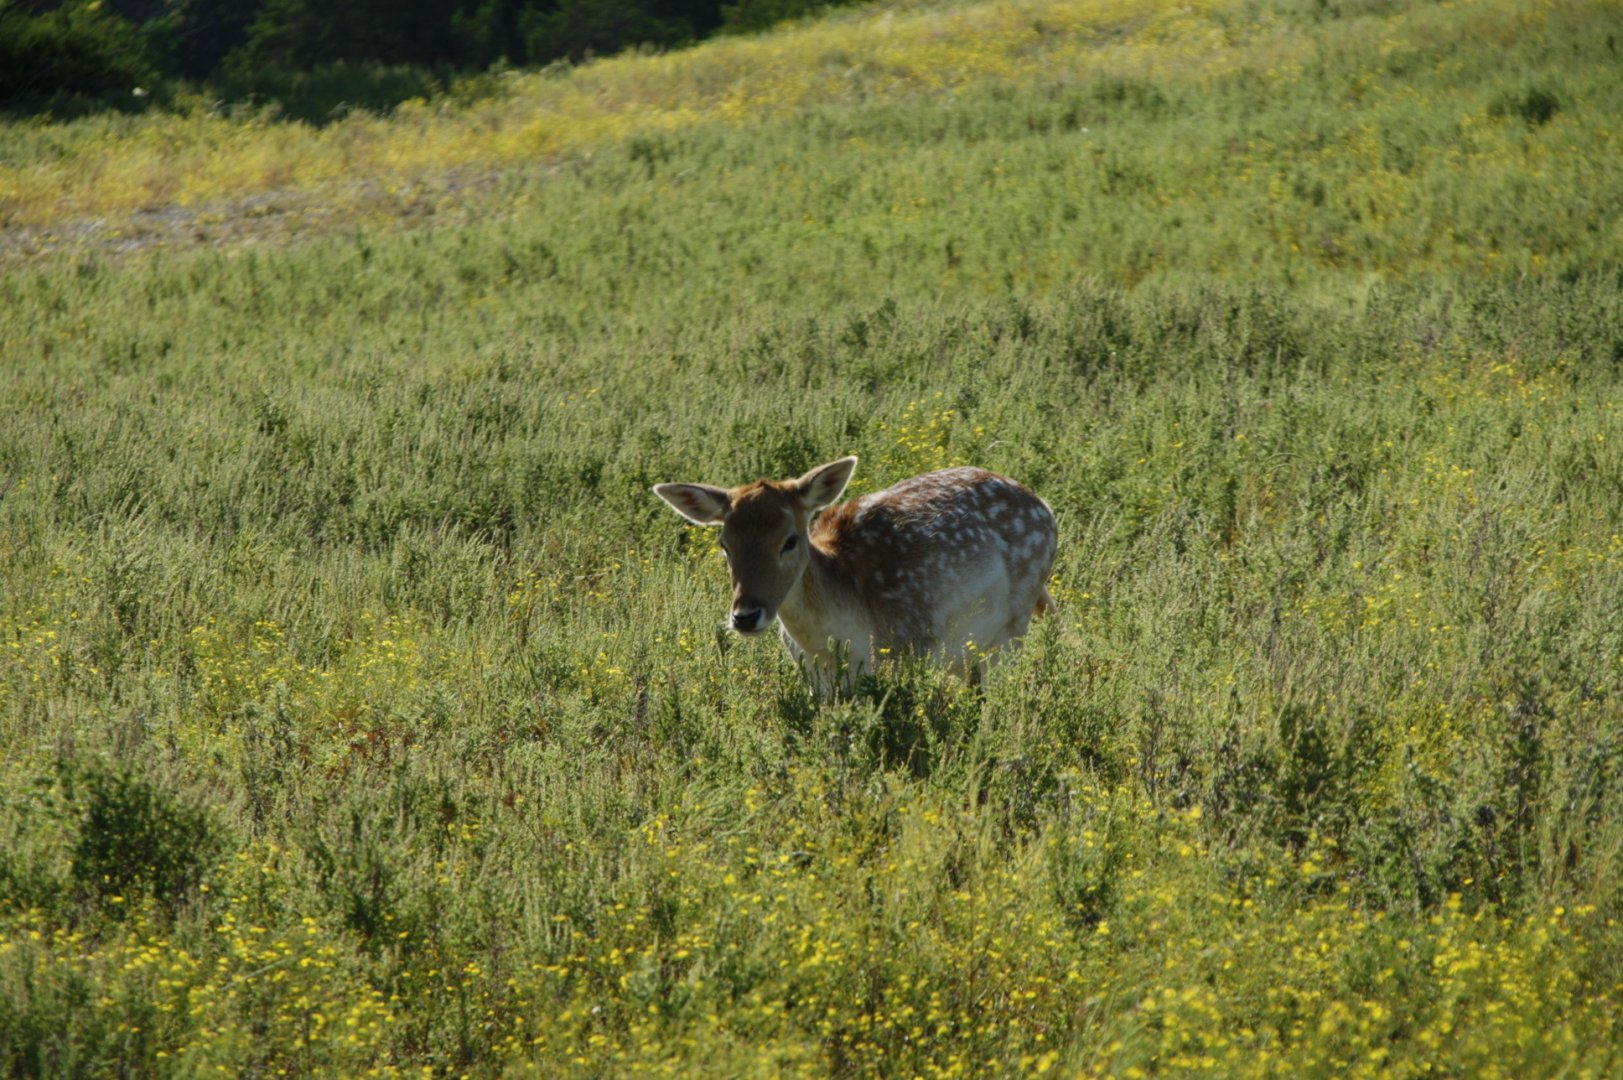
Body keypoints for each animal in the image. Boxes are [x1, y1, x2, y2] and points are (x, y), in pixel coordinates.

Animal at [654, 456, 1057, 694]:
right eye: (725, 544)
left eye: (790, 540)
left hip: (1012, 627)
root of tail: (1046, 508)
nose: (745, 616)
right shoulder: (812, 674)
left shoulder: (907, 650)